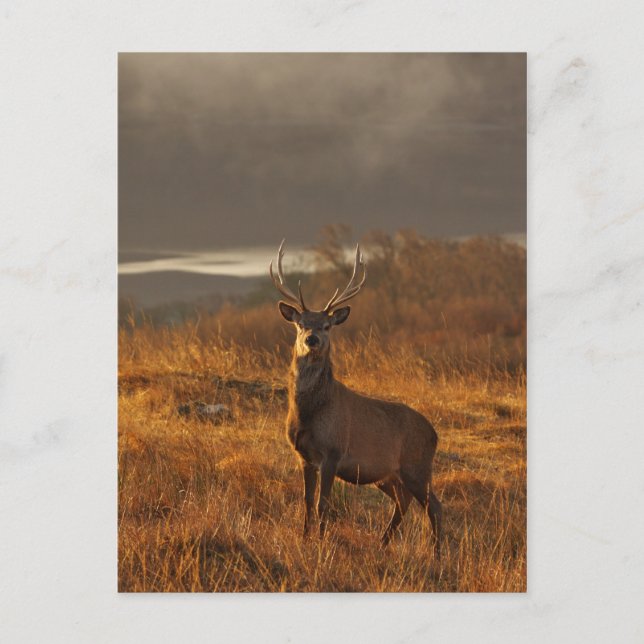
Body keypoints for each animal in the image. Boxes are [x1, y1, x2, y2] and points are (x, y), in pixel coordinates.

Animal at [270, 240, 442, 556]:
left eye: (327, 326)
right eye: (300, 324)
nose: (312, 339)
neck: (309, 413)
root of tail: (435, 434)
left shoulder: (333, 452)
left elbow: (322, 504)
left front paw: (321, 542)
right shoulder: (303, 456)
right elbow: (306, 502)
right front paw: (304, 538)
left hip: (418, 466)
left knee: (434, 506)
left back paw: (437, 555)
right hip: (389, 475)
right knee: (403, 501)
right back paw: (383, 543)